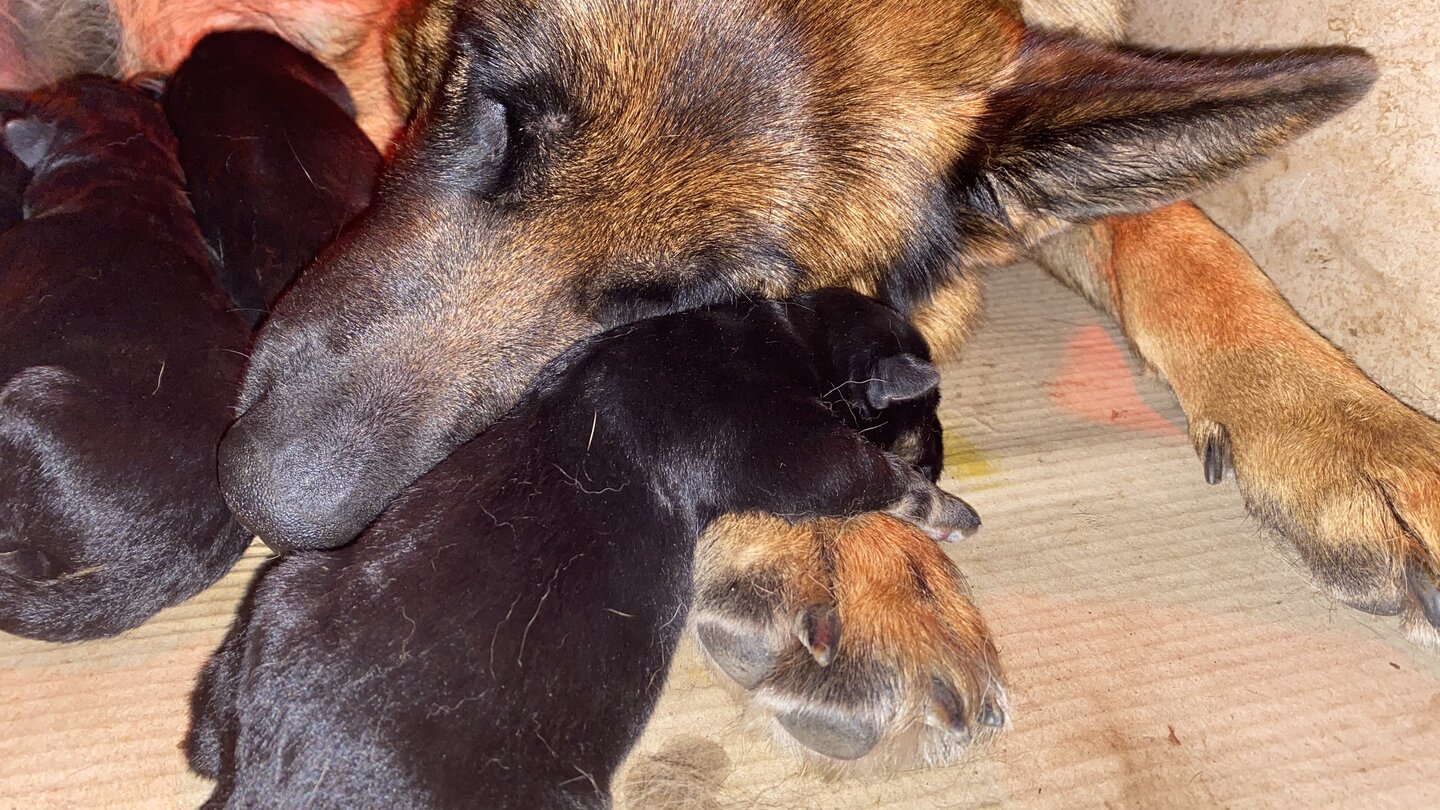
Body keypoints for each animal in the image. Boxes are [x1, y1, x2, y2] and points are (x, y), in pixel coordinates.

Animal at [187, 289, 997, 807]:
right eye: (925, 418)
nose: (939, 458)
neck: (788, 329)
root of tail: (273, 782)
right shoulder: (780, 441)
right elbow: (861, 477)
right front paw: (944, 509)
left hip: (278, 599)